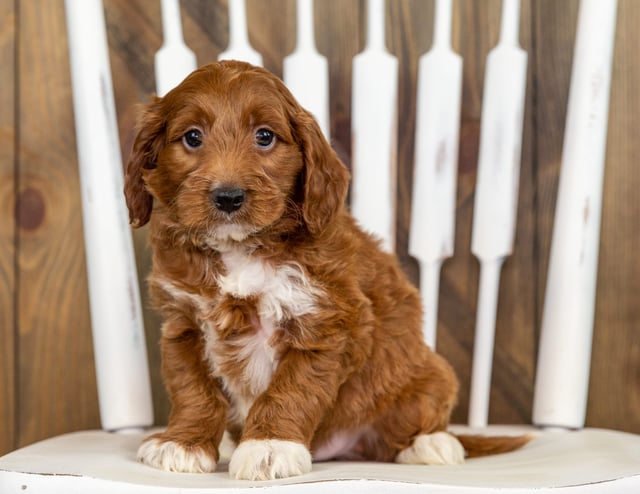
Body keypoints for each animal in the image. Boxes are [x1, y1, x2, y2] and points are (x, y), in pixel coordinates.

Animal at [122, 59, 528, 480]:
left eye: (265, 136)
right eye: (192, 137)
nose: (228, 196)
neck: (240, 248)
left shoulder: (325, 323)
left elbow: (289, 390)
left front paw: (269, 446)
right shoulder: (183, 323)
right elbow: (192, 389)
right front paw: (183, 443)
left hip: (429, 376)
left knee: (412, 422)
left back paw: (431, 442)